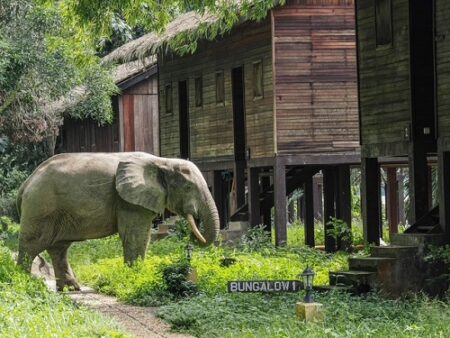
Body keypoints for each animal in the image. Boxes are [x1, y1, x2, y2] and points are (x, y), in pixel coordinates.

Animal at [16, 152, 221, 290]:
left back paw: (71, 289)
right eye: (188, 187)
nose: (192, 238)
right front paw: (135, 278)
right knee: (32, 245)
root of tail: (26, 183)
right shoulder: (129, 201)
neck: (163, 161)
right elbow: (136, 236)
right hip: (40, 207)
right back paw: (23, 284)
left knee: (59, 248)